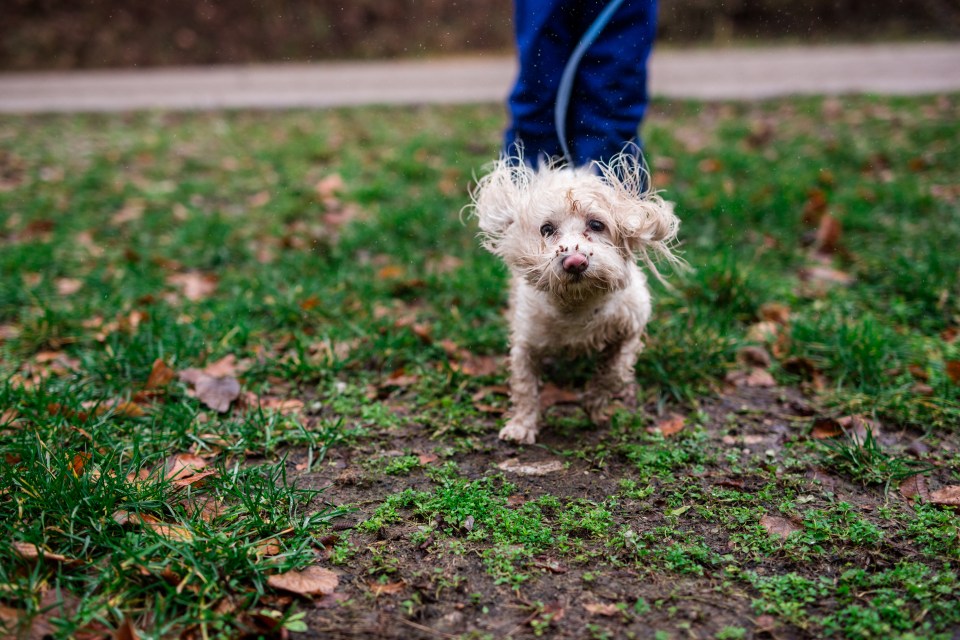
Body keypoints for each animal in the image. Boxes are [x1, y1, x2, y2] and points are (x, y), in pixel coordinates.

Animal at [472, 149, 684, 444]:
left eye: (597, 224)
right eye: (546, 229)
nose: (574, 261)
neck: (578, 305)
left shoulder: (631, 327)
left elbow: (614, 372)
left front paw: (594, 403)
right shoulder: (526, 342)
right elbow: (524, 386)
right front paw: (521, 426)